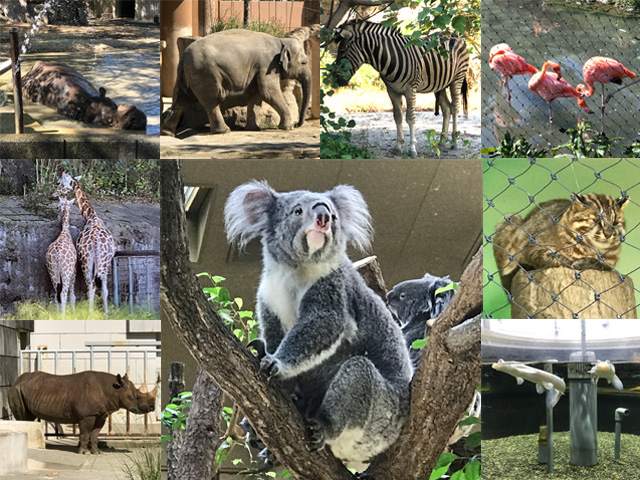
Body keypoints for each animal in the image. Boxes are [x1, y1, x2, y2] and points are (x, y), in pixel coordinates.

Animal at [56, 172, 116, 312]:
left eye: (59, 182)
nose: (55, 193)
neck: (90, 216)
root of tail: (96, 245)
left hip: (86, 263)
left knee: (91, 287)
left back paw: (90, 312)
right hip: (105, 263)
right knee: (104, 289)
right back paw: (106, 313)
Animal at [162, 29, 312, 136]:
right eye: (304, 62)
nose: (298, 124)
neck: (281, 41)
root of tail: (183, 55)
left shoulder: (258, 69)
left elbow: (255, 97)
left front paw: (253, 129)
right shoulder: (267, 65)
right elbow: (268, 91)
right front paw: (288, 128)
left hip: (189, 76)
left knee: (182, 101)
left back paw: (168, 133)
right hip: (205, 74)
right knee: (211, 102)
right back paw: (223, 131)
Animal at [336, 21, 470, 158]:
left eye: (342, 51)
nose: (336, 79)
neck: (390, 57)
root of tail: (455, 34)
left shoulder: (411, 90)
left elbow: (410, 118)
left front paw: (412, 149)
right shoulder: (392, 91)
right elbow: (398, 117)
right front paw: (398, 146)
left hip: (457, 78)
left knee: (455, 108)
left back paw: (454, 142)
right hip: (440, 84)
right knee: (447, 109)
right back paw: (442, 142)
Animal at [492, 192, 628, 292]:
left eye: (615, 222)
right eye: (596, 221)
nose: (608, 233)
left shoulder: (610, 263)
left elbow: (603, 265)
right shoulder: (532, 247)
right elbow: (557, 256)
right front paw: (575, 261)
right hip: (510, 220)